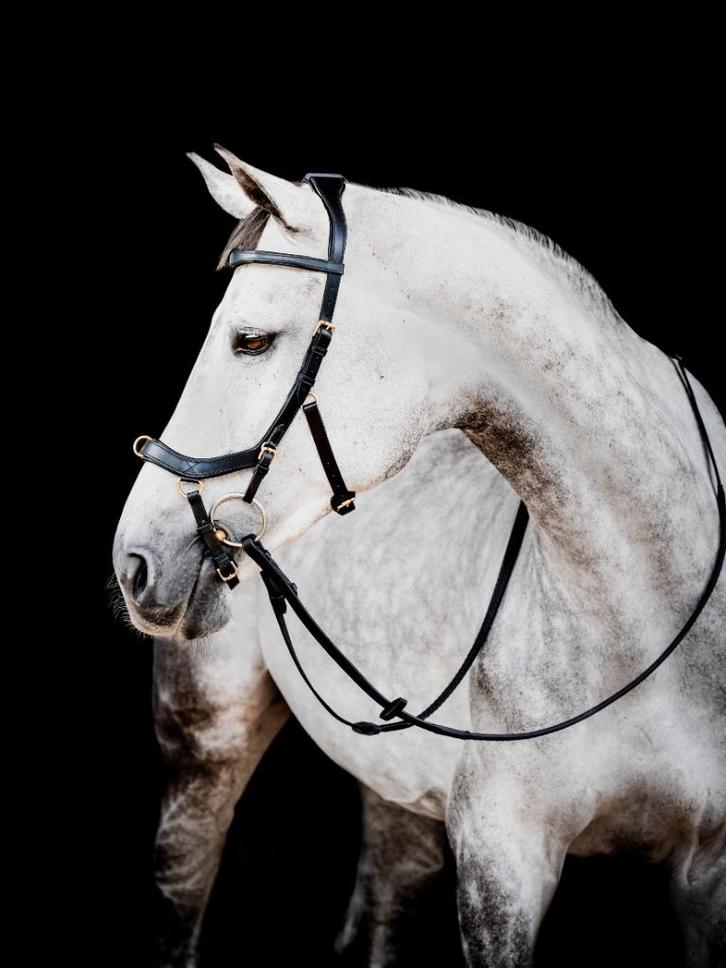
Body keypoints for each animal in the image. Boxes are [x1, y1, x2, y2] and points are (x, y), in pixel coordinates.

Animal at [114, 146, 725, 966]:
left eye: (251, 340)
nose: (134, 561)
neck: (647, 608)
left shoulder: (707, 873)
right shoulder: (503, 864)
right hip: (203, 751)